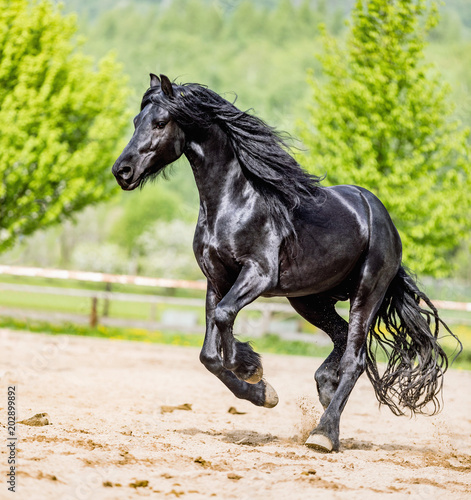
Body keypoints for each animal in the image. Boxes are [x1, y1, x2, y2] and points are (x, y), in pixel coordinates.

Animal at [113, 74, 460, 454]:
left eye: (160, 123)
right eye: (136, 121)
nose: (121, 171)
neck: (235, 202)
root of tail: (383, 217)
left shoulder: (258, 274)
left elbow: (223, 317)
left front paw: (250, 367)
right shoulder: (216, 279)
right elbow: (209, 351)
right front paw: (262, 391)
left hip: (366, 292)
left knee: (355, 359)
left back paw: (324, 433)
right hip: (309, 300)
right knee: (341, 339)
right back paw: (325, 392)